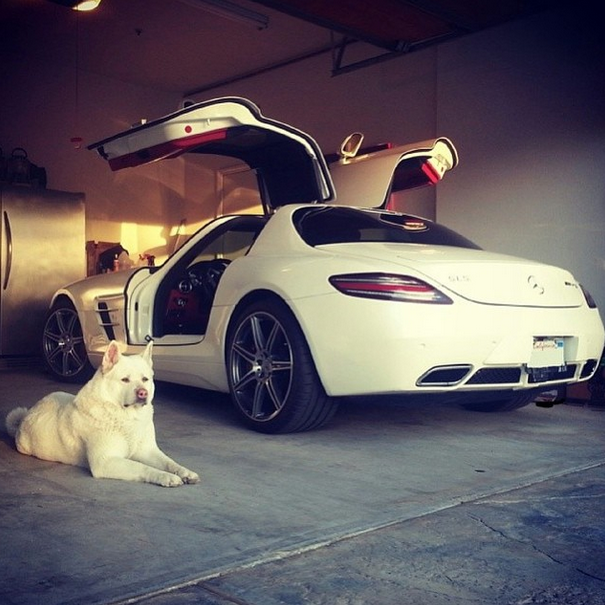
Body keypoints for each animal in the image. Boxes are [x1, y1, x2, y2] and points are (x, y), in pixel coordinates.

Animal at [5, 340, 200, 487]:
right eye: (125, 380)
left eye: (145, 379)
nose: (143, 393)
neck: (126, 416)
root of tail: (27, 414)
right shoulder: (106, 462)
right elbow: (141, 467)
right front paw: (166, 477)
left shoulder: (148, 450)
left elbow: (169, 461)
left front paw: (184, 472)